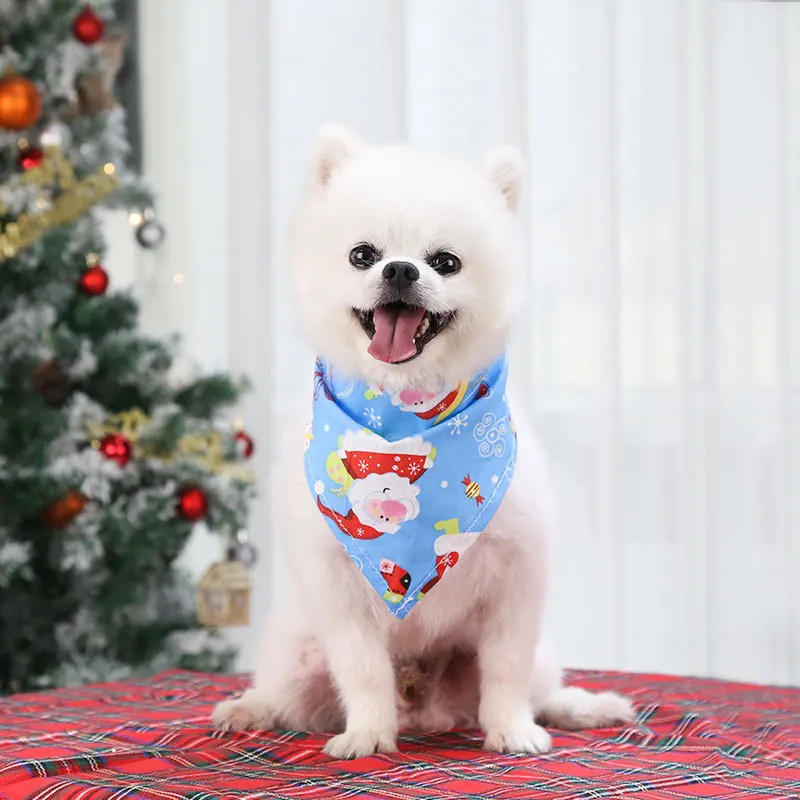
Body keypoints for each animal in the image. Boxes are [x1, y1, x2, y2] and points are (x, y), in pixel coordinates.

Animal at [209, 123, 636, 756]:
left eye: (446, 262)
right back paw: (250, 707)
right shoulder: (339, 588)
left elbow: (507, 669)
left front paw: (511, 730)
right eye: (363, 254)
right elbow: (362, 669)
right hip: (296, 650)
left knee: (540, 687)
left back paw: (580, 707)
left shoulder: (516, 580)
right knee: (286, 697)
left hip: (527, 659)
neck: (405, 411)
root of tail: (425, 708)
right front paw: (367, 734)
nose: (401, 271)